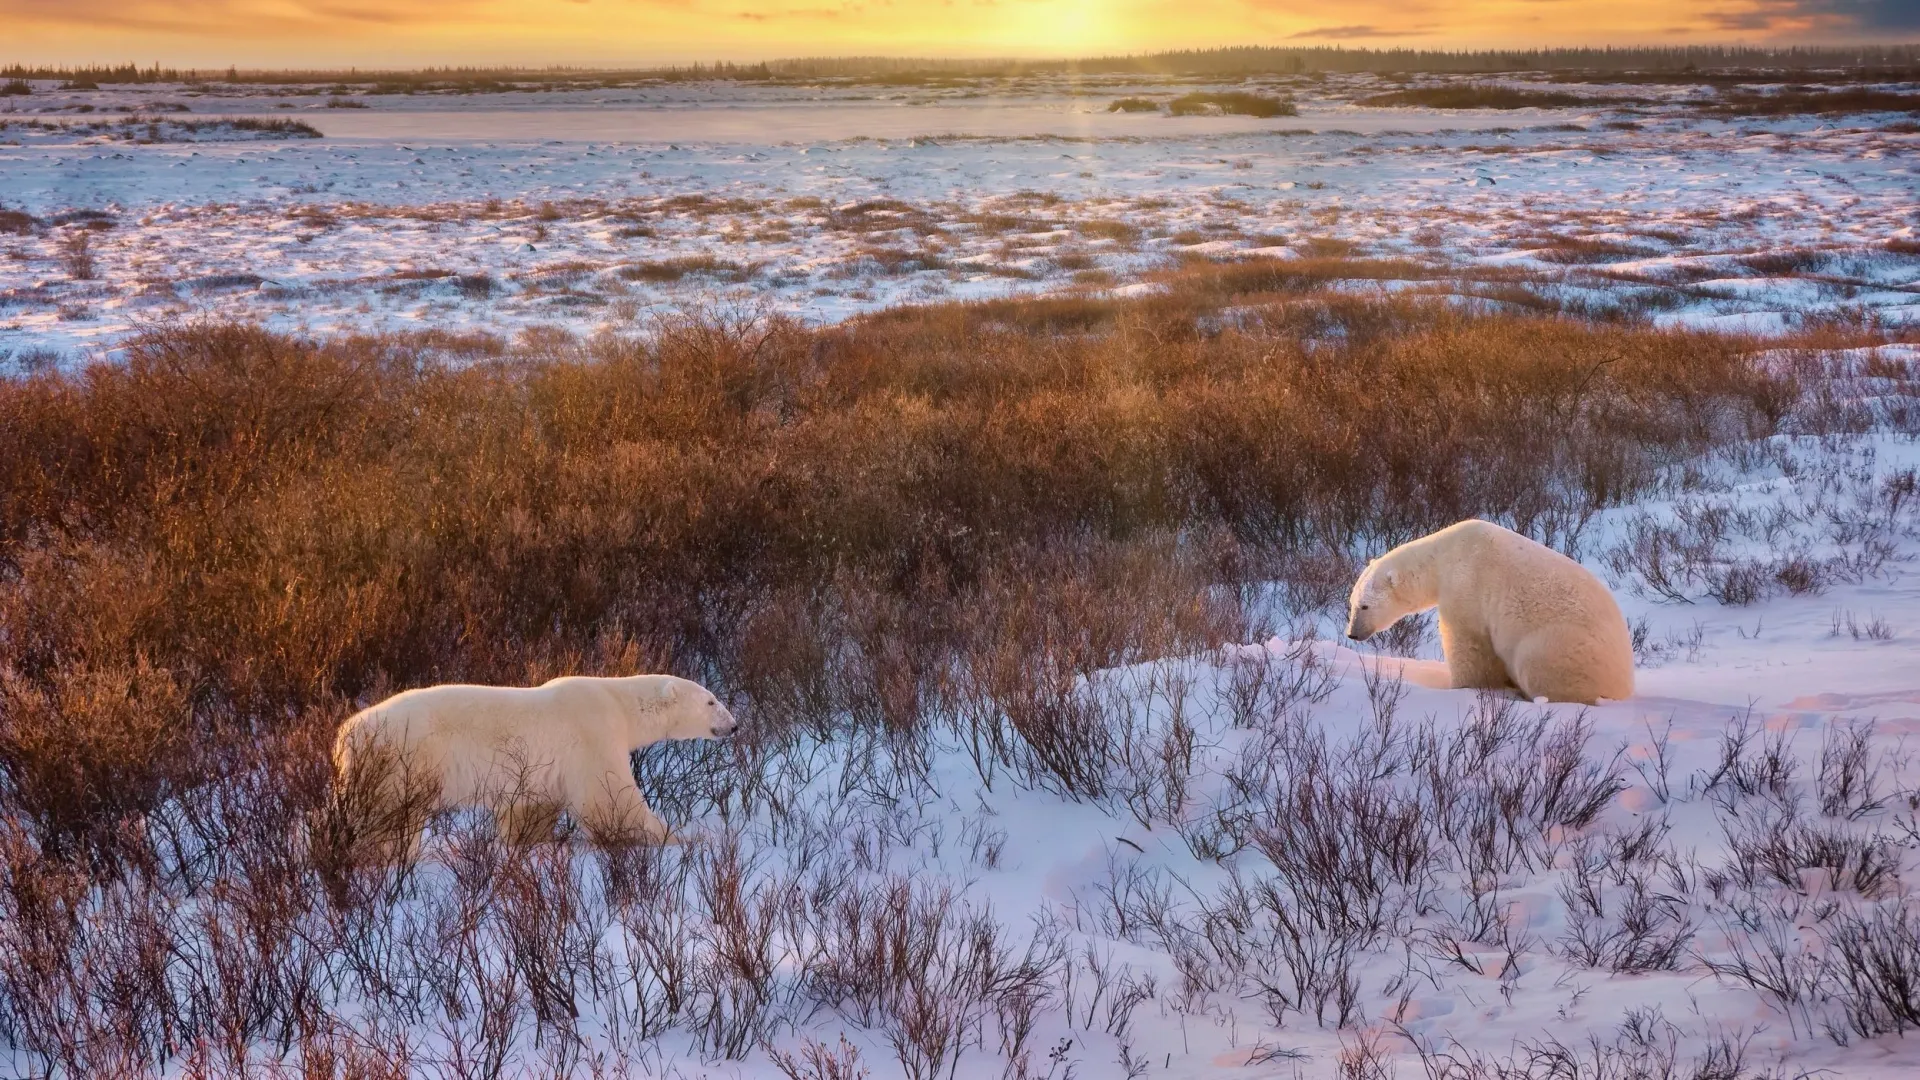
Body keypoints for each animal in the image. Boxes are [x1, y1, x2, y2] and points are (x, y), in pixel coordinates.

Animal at [332, 668, 733, 853]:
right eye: (711, 700)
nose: (734, 724)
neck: (617, 702)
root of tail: (345, 734)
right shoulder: (593, 733)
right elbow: (611, 799)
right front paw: (680, 837)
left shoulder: (540, 770)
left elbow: (530, 808)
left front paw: (528, 843)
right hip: (402, 761)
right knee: (390, 817)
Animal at [1351, 518, 1635, 703]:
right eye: (1351, 603)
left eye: (1365, 606)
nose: (1351, 633)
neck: (1443, 555)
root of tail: (1624, 683)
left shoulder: (1466, 585)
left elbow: (1469, 644)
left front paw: (1465, 686)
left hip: (1560, 646)